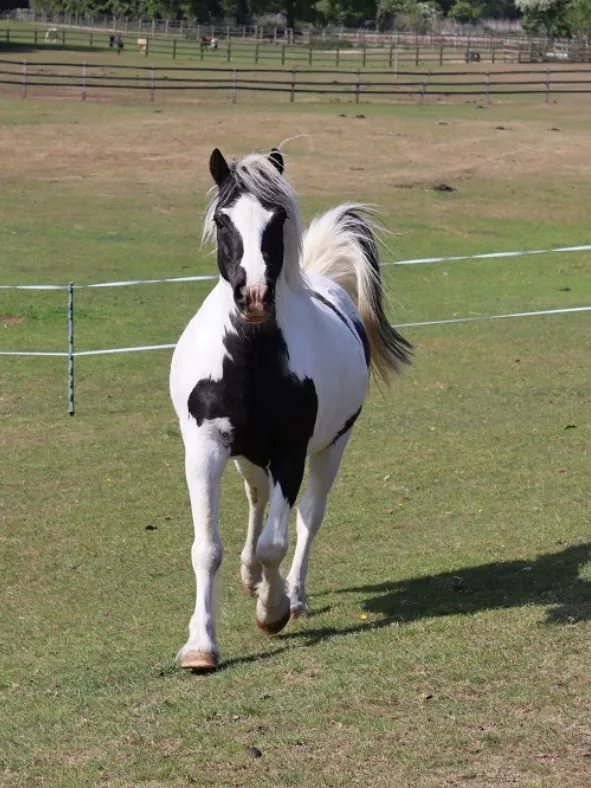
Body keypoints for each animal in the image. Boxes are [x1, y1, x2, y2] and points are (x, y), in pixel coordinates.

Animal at [169, 148, 412, 672]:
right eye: (222, 220)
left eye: (277, 219)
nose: (255, 296)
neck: (252, 361)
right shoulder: (204, 448)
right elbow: (207, 548)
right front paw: (201, 644)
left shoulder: (290, 454)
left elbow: (276, 543)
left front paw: (273, 609)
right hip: (246, 456)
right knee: (257, 501)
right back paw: (249, 576)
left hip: (330, 449)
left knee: (307, 519)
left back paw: (293, 596)